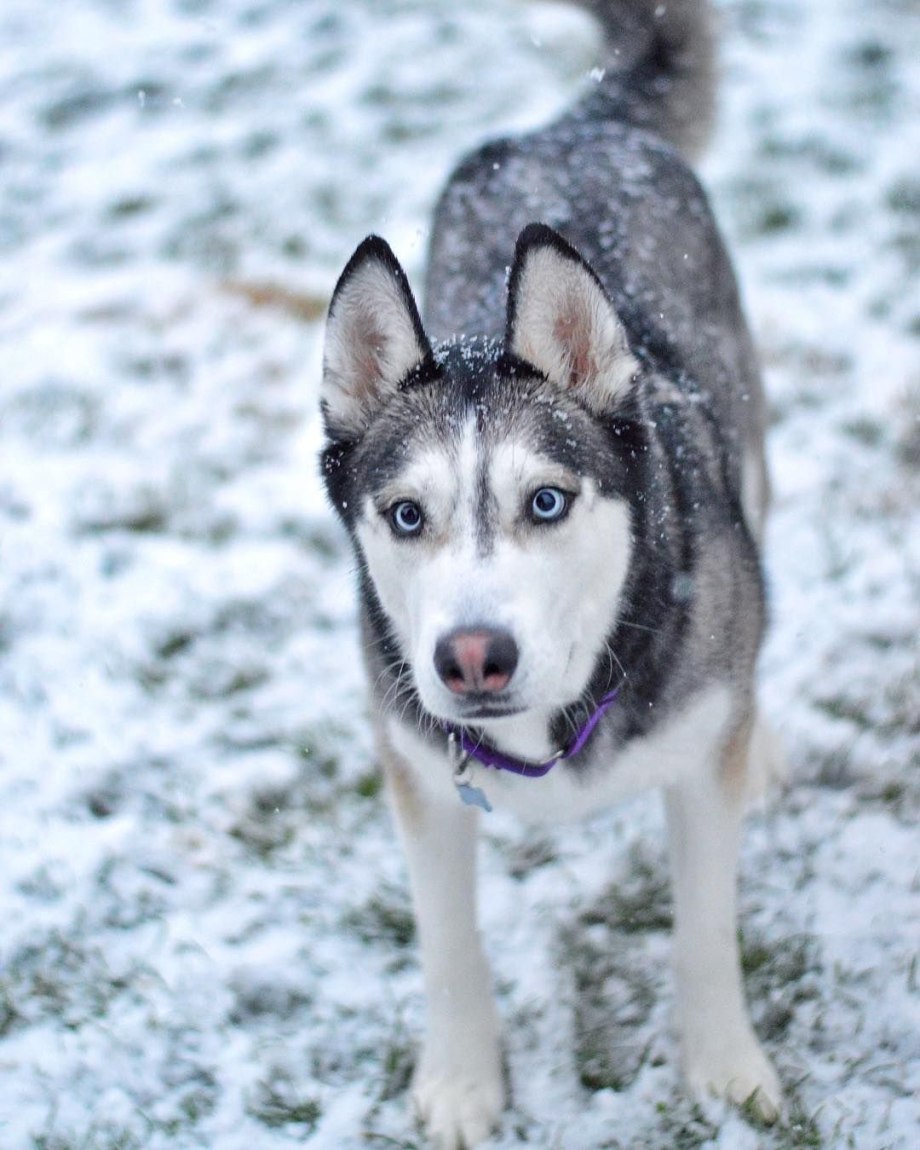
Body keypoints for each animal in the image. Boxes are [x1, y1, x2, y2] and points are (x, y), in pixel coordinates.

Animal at [317, 2, 782, 1140]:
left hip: (749, 460)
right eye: (406, 514)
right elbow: (447, 946)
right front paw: (459, 1083)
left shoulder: (697, 769)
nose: (472, 658)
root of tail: (569, 130)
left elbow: (704, 930)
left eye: (546, 501)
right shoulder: (418, 775)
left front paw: (724, 1069)